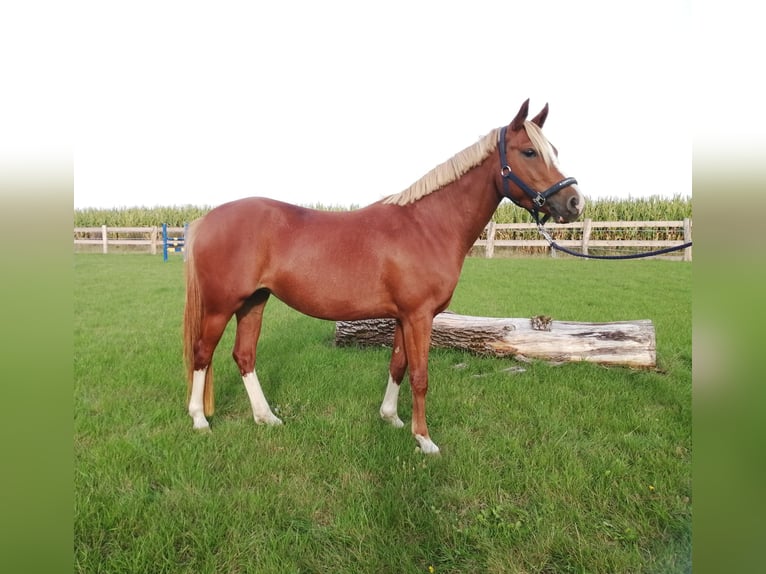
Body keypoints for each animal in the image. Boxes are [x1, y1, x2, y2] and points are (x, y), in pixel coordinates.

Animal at [183, 101, 584, 456]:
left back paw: (266, 418)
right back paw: (200, 421)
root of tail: (205, 220)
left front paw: (391, 419)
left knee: (244, 355)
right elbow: (420, 375)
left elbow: (398, 365)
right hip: (220, 306)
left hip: (254, 301)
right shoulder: (420, 316)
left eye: (554, 150)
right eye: (530, 152)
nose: (574, 202)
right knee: (202, 353)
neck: (427, 226)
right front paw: (425, 440)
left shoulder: (404, 316)